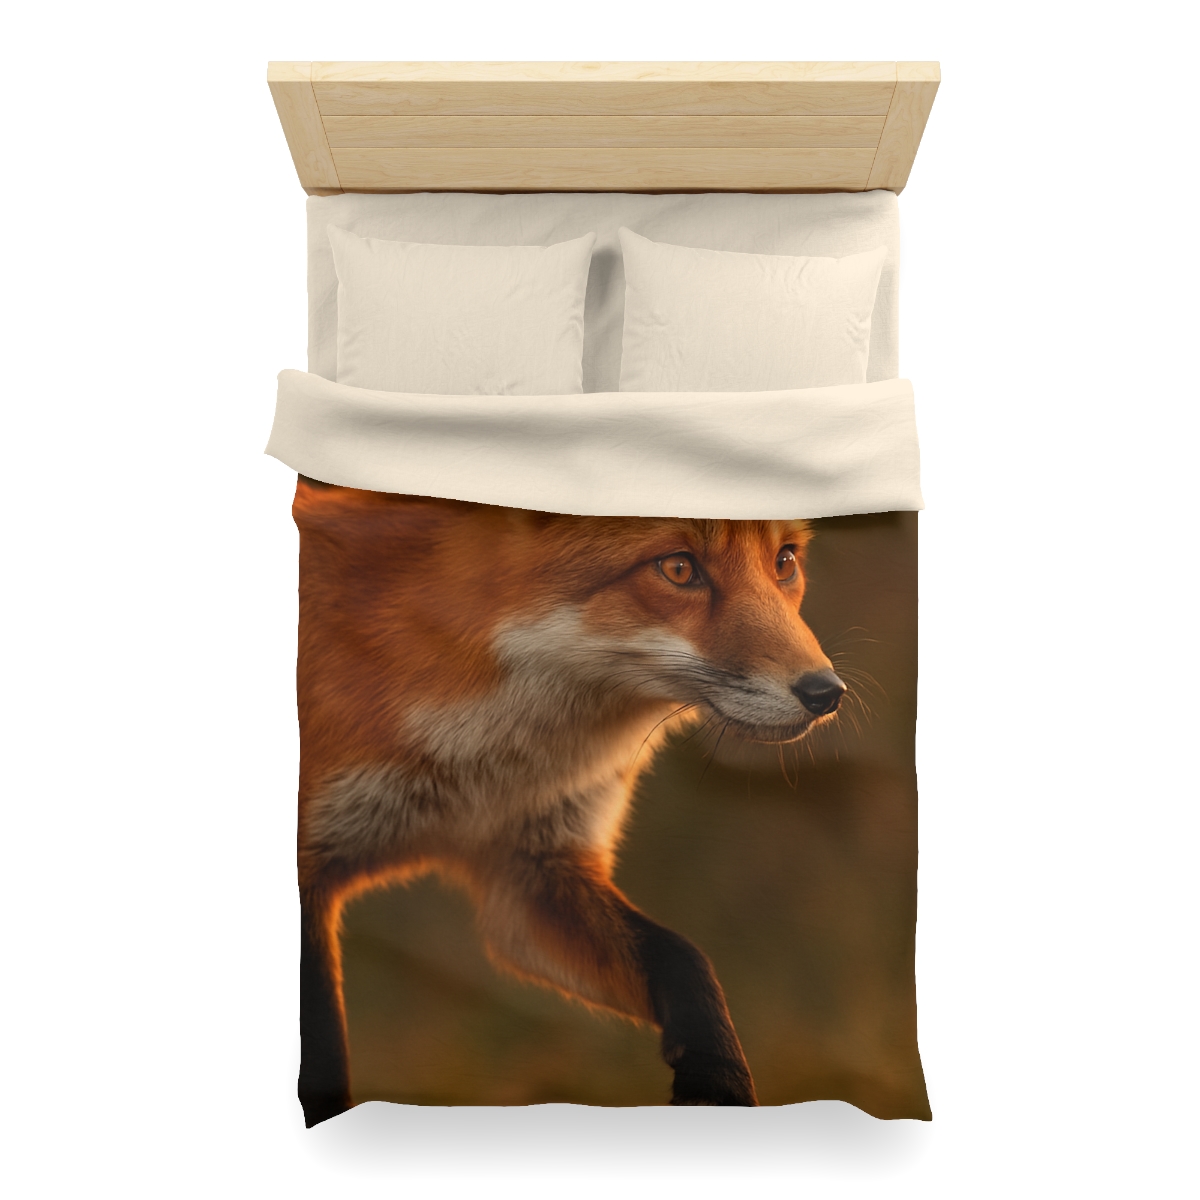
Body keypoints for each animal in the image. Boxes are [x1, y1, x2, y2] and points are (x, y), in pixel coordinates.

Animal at [293, 479, 847, 1126]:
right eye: (678, 568)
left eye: (784, 562)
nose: (826, 693)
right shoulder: (307, 876)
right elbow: (321, 1054)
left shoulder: (531, 875)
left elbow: (683, 958)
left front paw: (719, 1082)